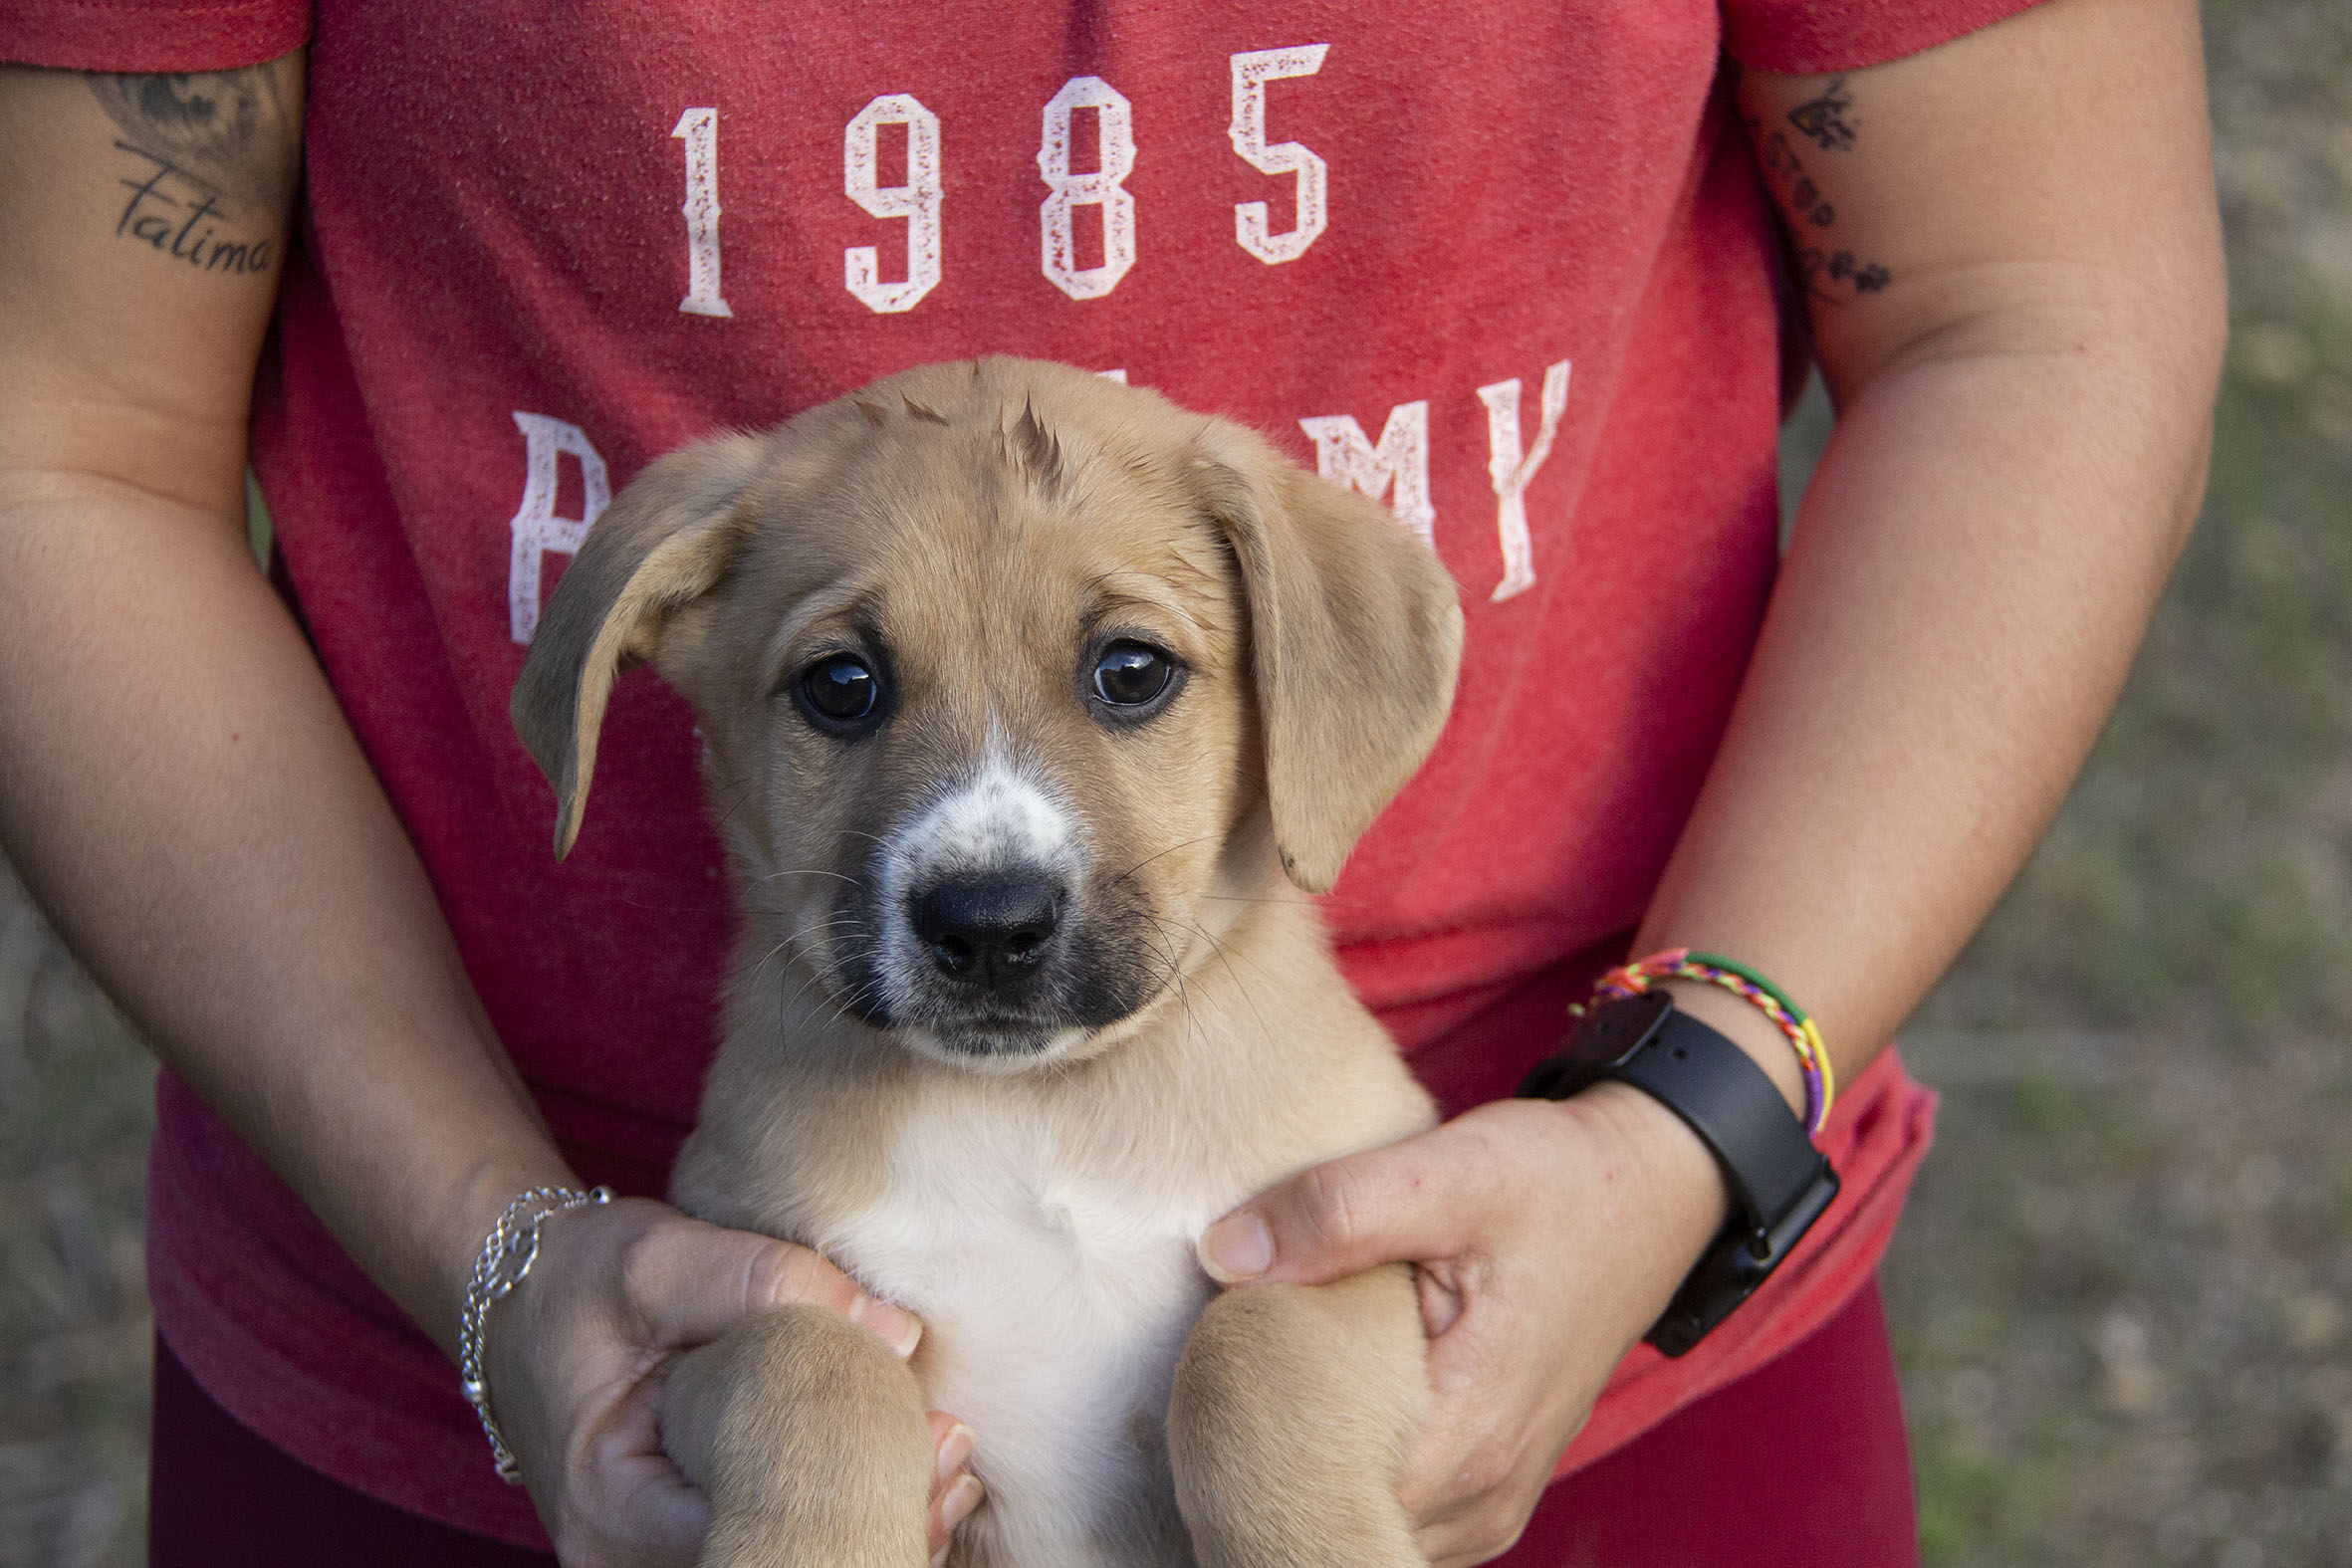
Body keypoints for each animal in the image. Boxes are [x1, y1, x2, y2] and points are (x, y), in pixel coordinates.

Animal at [513, 357, 1464, 1568]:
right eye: (840, 685)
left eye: (1132, 671)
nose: (989, 923)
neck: (1035, 1116)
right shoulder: (730, 1285)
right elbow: (810, 1362)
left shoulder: (1347, 1244)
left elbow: (1250, 1350)